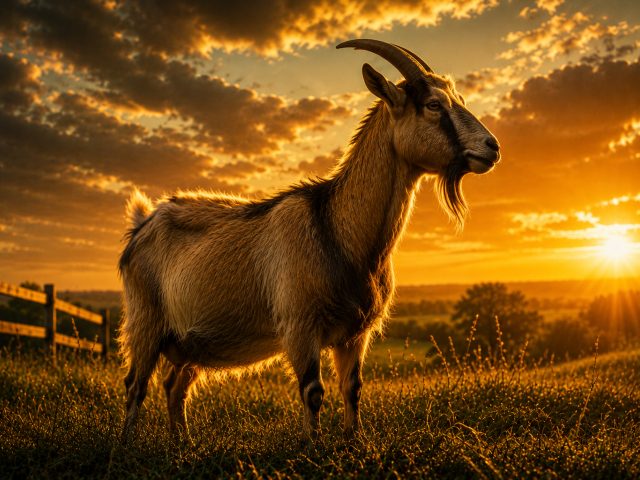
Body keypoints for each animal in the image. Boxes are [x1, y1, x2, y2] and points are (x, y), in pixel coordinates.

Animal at [118, 39, 500, 440]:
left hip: (191, 342)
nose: (492, 147)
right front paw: (312, 446)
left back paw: (184, 444)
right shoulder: (301, 326)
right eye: (433, 105)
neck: (337, 229)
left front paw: (353, 442)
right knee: (135, 385)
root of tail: (143, 223)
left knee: (174, 386)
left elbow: (353, 388)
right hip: (145, 321)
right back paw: (127, 445)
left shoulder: (355, 334)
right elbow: (313, 392)